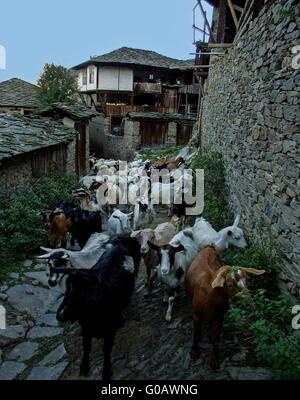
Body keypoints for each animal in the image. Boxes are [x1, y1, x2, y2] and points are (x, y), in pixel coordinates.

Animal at [54, 236, 141, 380]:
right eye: (66, 290)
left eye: (82, 293)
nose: (60, 314)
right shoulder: (85, 327)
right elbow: (86, 346)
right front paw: (84, 367)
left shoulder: (110, 328)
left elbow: (106, 348)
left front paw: (106, 371)